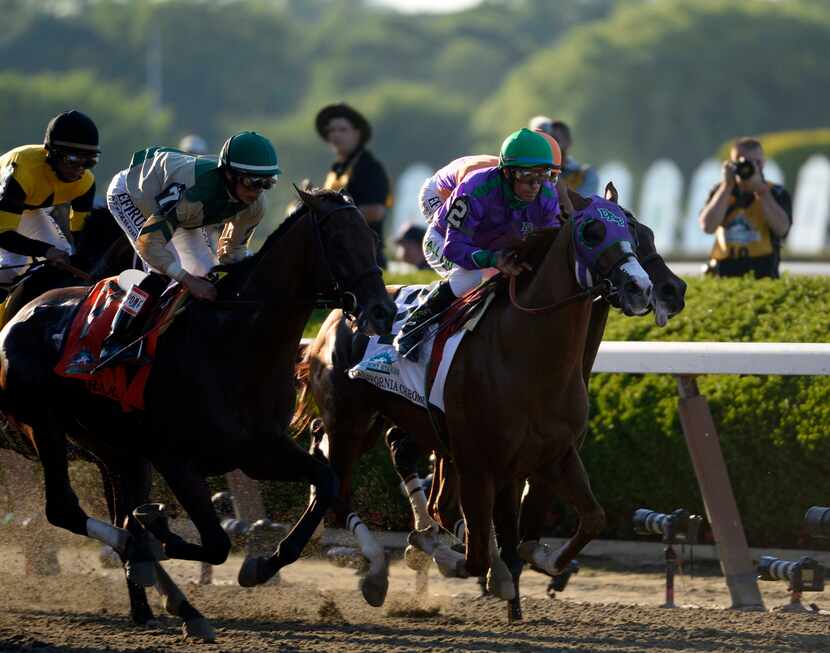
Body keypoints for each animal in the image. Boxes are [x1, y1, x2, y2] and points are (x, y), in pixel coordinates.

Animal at [0, 188, 396, 636]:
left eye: (372, 238)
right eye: (339, 241)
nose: (383, 311)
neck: (234, 342)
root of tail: (20, 315)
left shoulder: (260, 451)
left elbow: (325, 482)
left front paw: (262, 566)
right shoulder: (175, 459)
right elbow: (217, 543)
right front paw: (159, 536)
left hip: (114, 450)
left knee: (116, 512)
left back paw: (162, 600)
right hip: (43, 426)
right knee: (64, 509)